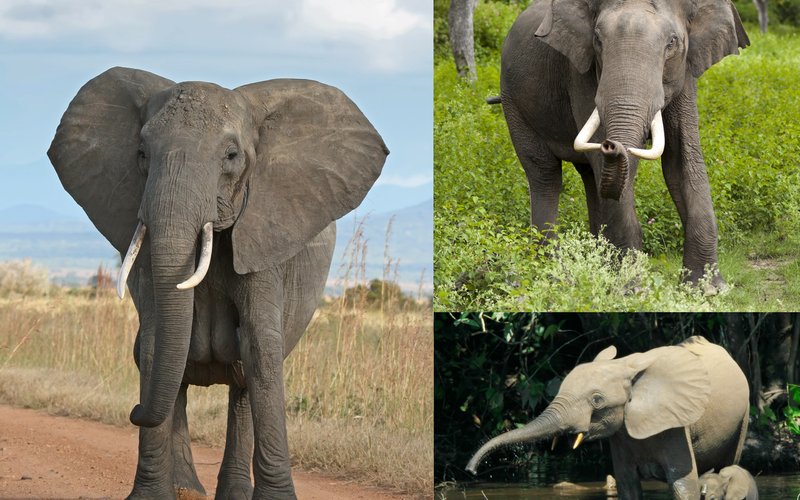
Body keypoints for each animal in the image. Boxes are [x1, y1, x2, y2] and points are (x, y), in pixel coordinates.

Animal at [47, 67, 388, 499]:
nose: (133, 412)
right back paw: (187, 490)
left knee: (242, 378)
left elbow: (261, 348)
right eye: (141, 155)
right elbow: (156, 343)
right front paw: (148, 497)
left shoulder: (265, 233)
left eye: (231, 156)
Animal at [466, 336, 750, 500]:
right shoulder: (621, 434)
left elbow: (683, 485)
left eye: (597, 400)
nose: (471, 470)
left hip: (743, 416)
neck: (624, 366)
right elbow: (627, 485)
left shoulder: (676, 424)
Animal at [495, 0, 749, 291]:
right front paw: (632, 289)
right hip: (512, 101)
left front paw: (708, 290)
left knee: (590, 178)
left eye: (672, 43)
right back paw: (551, 273)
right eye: (597, 40)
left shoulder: (686, 74)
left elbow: (682, 162)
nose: (610, 145)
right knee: (545, 174)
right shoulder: (580, 72)